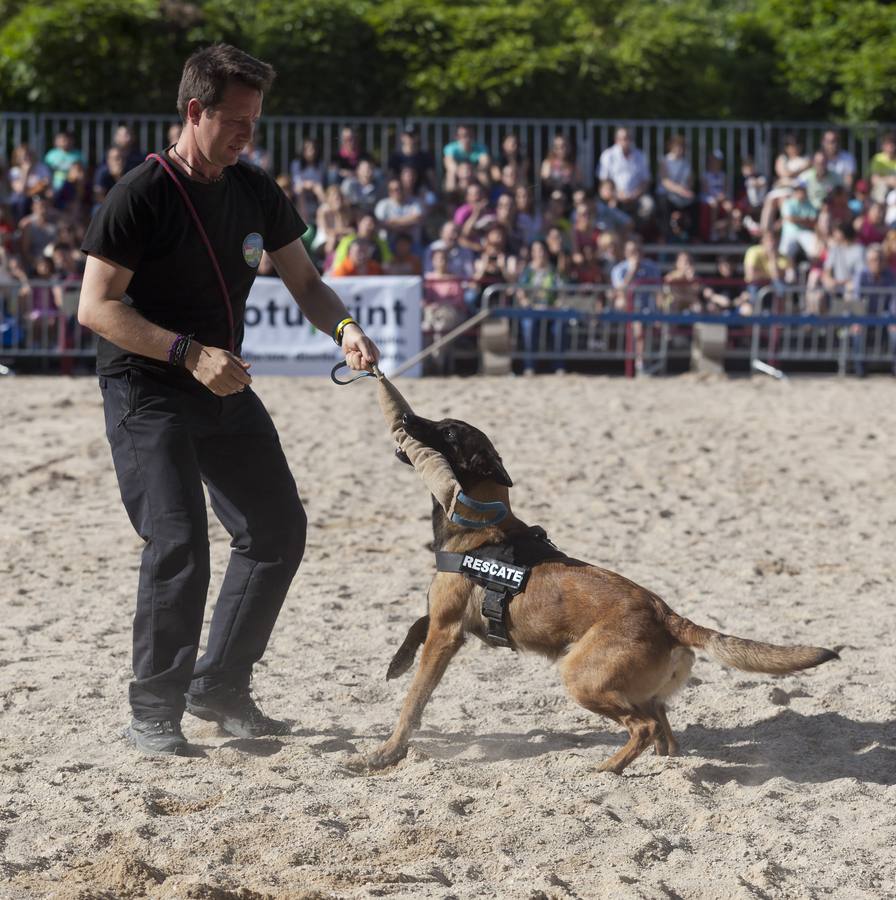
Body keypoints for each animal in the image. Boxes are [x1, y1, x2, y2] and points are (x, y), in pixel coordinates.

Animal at [360, 412, 836, 768]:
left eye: (448, 432)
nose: (404, 417)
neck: (479, 525)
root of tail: (667, 615)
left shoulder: (446, 633)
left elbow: (413, 701)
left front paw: (389, 751)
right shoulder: (443, 621)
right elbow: (415, 625)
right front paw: (397, 662)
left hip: (580, 677)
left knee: (643, 726)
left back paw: (608, 769)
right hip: (630, 688)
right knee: (663, 729)